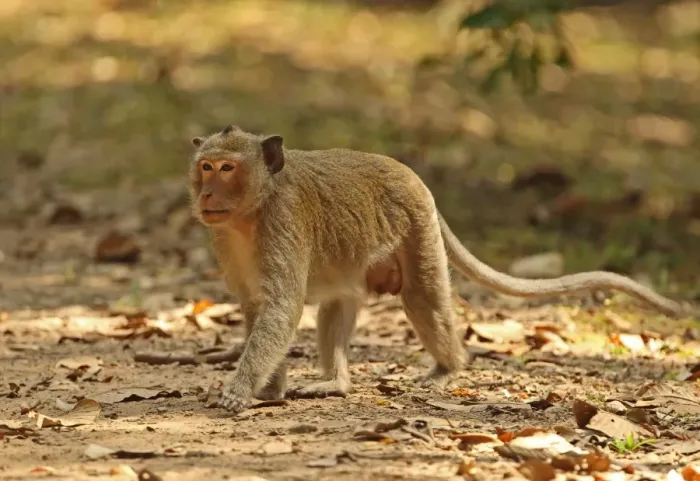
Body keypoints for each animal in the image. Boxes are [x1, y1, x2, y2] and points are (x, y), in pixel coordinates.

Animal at [188, 124, 691, 414]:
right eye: (206, 166)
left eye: (227, 169)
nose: (206, 194)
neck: (254, 210)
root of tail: (414, 177)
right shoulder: (224, 237)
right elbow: (259, 307)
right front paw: (269, 388)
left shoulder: (283, 221)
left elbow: (281, 308)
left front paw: (241, 390)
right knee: (337, 304)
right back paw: (337, 383)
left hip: (416, 232)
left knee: (423, 299)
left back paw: (449, 368)